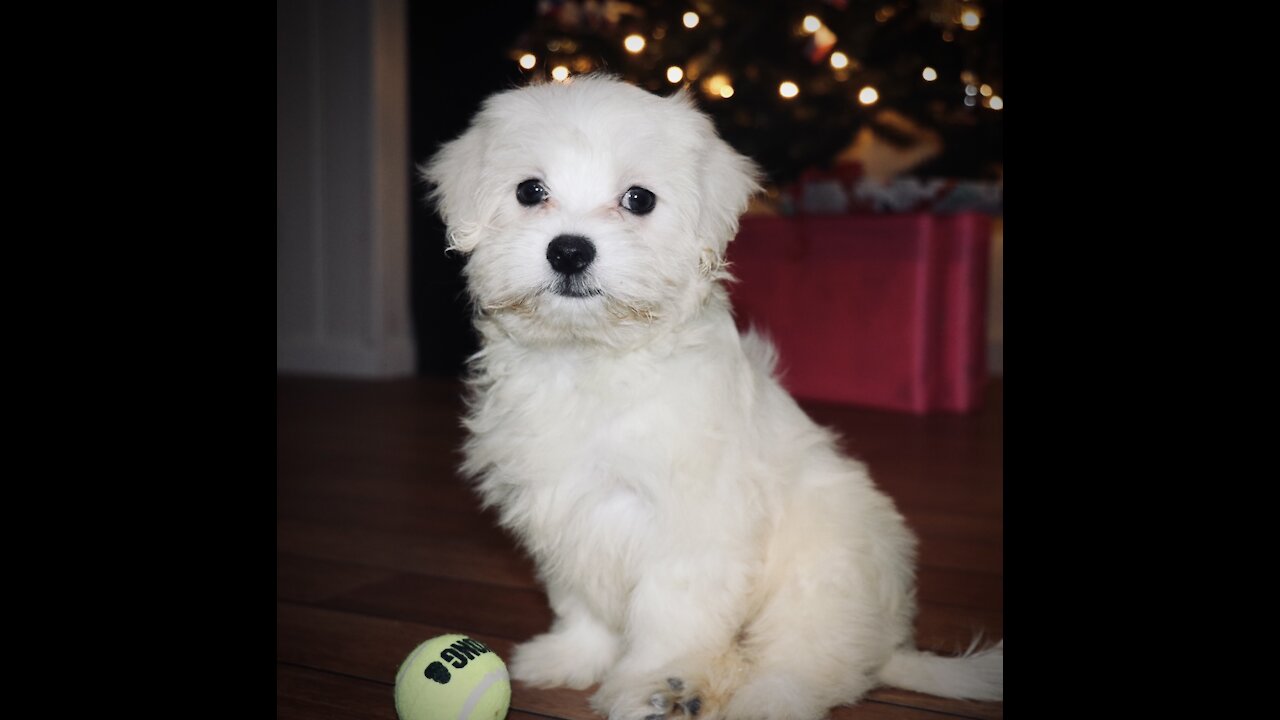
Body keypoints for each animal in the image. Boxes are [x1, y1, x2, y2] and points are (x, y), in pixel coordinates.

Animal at [419, 75, 998, 712]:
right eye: (530, 190)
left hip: (820, 576)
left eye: (639, 200)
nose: (569, 250)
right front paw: (573, 656)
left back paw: (750, 698)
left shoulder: (692, 524)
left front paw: (652, 680)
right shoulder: (564, 511)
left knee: (808, 666)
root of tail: (888, 645)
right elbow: (581, 600)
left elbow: (669, 612)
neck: (589, 356)